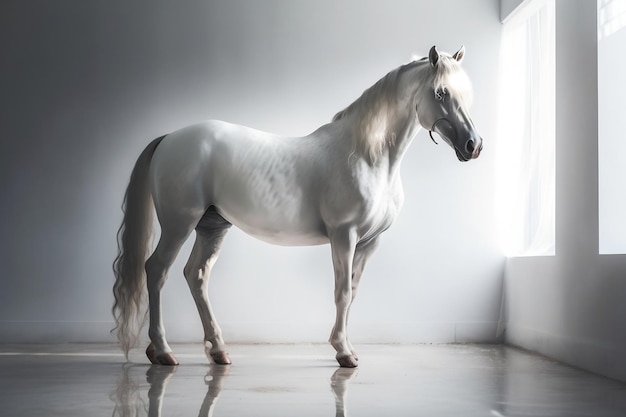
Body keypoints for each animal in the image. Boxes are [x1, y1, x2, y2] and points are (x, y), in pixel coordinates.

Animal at [112, 45, 482, 368]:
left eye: (466, 93)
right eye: (440, 93)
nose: (473, 145)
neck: (367, 156)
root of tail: (169, 138)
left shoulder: (370, 242)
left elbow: (353, 291)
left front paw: (348, 348)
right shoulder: (344, 235)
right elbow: (341, 291)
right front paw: (343, 353)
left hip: (212, 227)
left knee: (196, 276)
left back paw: (217, 350)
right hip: (179, 224)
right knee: (156, 270)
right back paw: (162, 351)